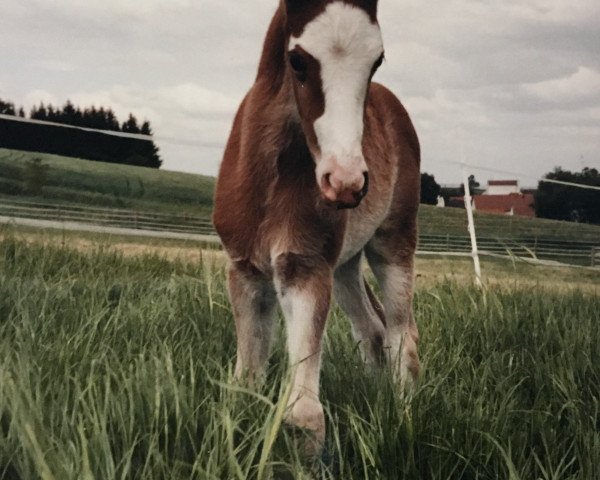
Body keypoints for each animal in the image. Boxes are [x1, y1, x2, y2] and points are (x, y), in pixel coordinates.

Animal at [213, 0, 420, 448]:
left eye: (377, 60)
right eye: (297, 60)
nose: (345, 181)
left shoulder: (305, 269)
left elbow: (305, 414)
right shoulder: (246, 272)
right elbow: (245, 383)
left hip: (393, 242)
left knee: (401, 334)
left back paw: (404, 415)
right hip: (343, 266)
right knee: (373, 331)